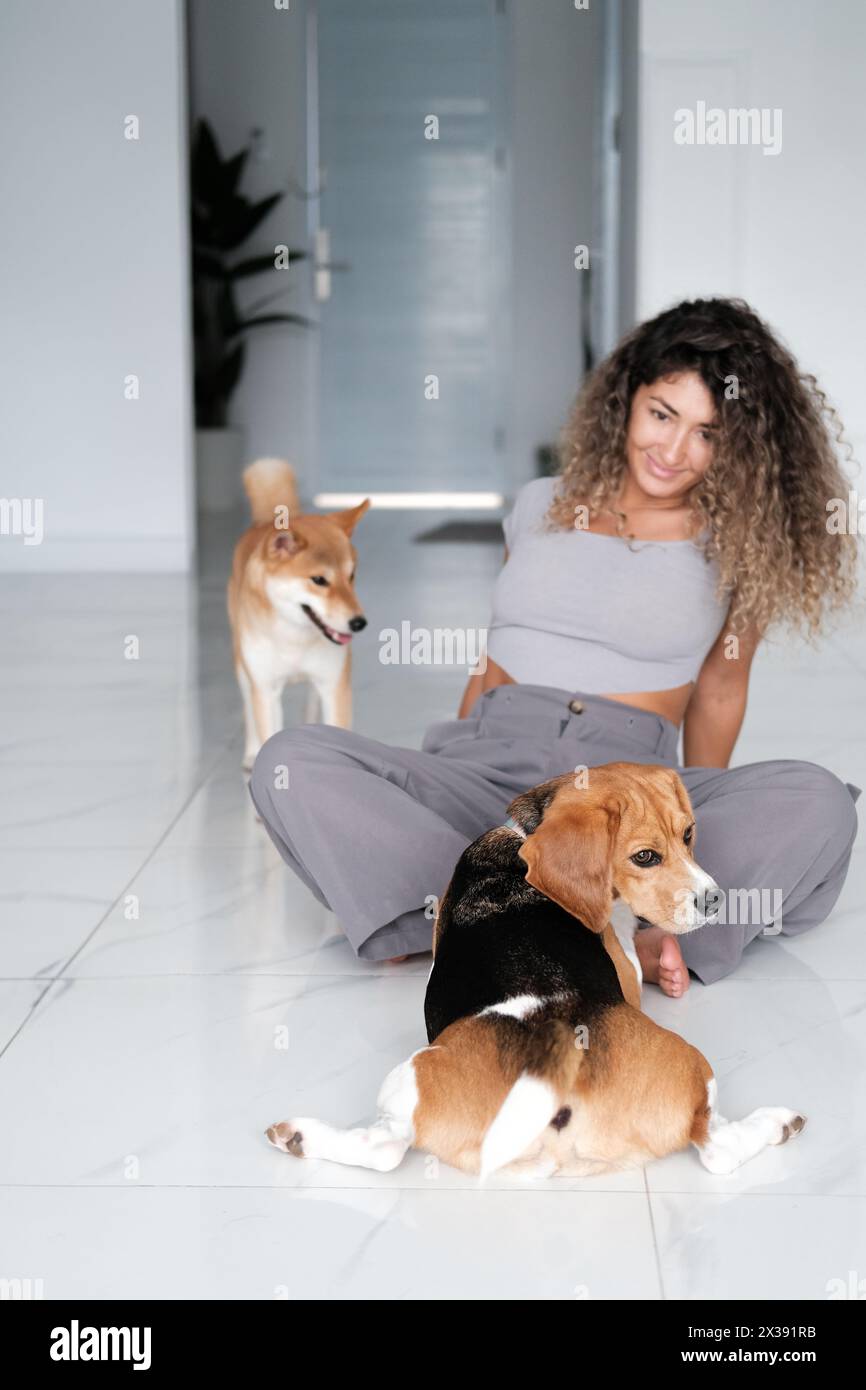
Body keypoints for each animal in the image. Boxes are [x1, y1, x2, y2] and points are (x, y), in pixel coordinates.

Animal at [226, 458, 369, 772]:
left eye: (351, 576)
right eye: (319, 580)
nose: (359, 623)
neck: (294, 637)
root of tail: (265, 522)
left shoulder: (334, 684)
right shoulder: (266, 689)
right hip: (243, 668)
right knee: (248, 708)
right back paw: (250, 752)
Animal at [265, 767, 806, 1178]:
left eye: (688, 834)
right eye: (645, 856)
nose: (714, 901)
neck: (525, 835)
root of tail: (557, 1078)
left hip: (414, 1076)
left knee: (385, 1149)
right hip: (691, 1069)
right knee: (716, 1150)